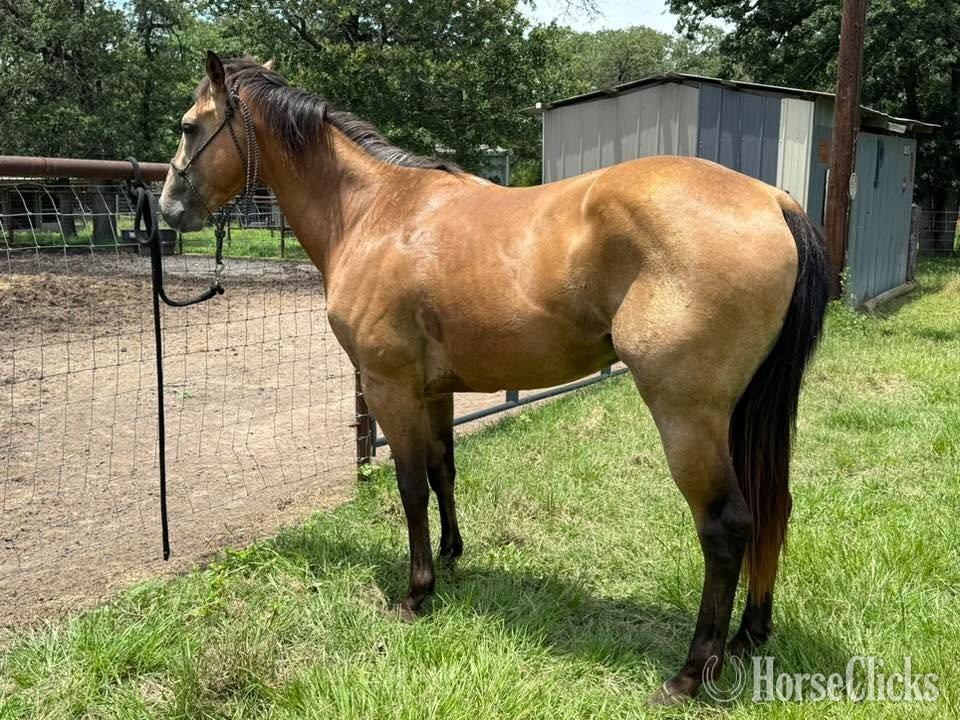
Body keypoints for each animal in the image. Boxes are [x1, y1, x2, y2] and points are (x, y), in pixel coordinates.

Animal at [160, 52, 829, 704]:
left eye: (189, 125)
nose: (168, 208)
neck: (374, 212)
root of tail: (774, 201)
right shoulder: (434, 391)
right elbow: (442, 472)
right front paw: (452, 558)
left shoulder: (389, 387)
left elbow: (410, 488)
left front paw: (416, 593)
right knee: (772, 506)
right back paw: (748, 635)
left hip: (688, 418)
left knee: (726, 526)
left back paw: (692, 672)